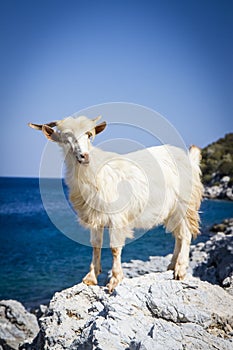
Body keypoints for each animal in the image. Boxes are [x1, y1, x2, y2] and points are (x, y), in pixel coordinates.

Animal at [29, 116, 203, 292]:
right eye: (66, 138)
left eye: (89, 135)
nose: (84, 156)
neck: (94, 173)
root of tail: (189, 160)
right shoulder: (95, 216)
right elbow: (95, 245)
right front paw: (91, 277)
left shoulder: (117, 217)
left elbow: (114, 247)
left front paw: (115, 280)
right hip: (172, 210)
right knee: (178, 235)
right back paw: (172, 266)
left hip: (184, 204)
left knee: (186, 234)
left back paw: (180, 270)